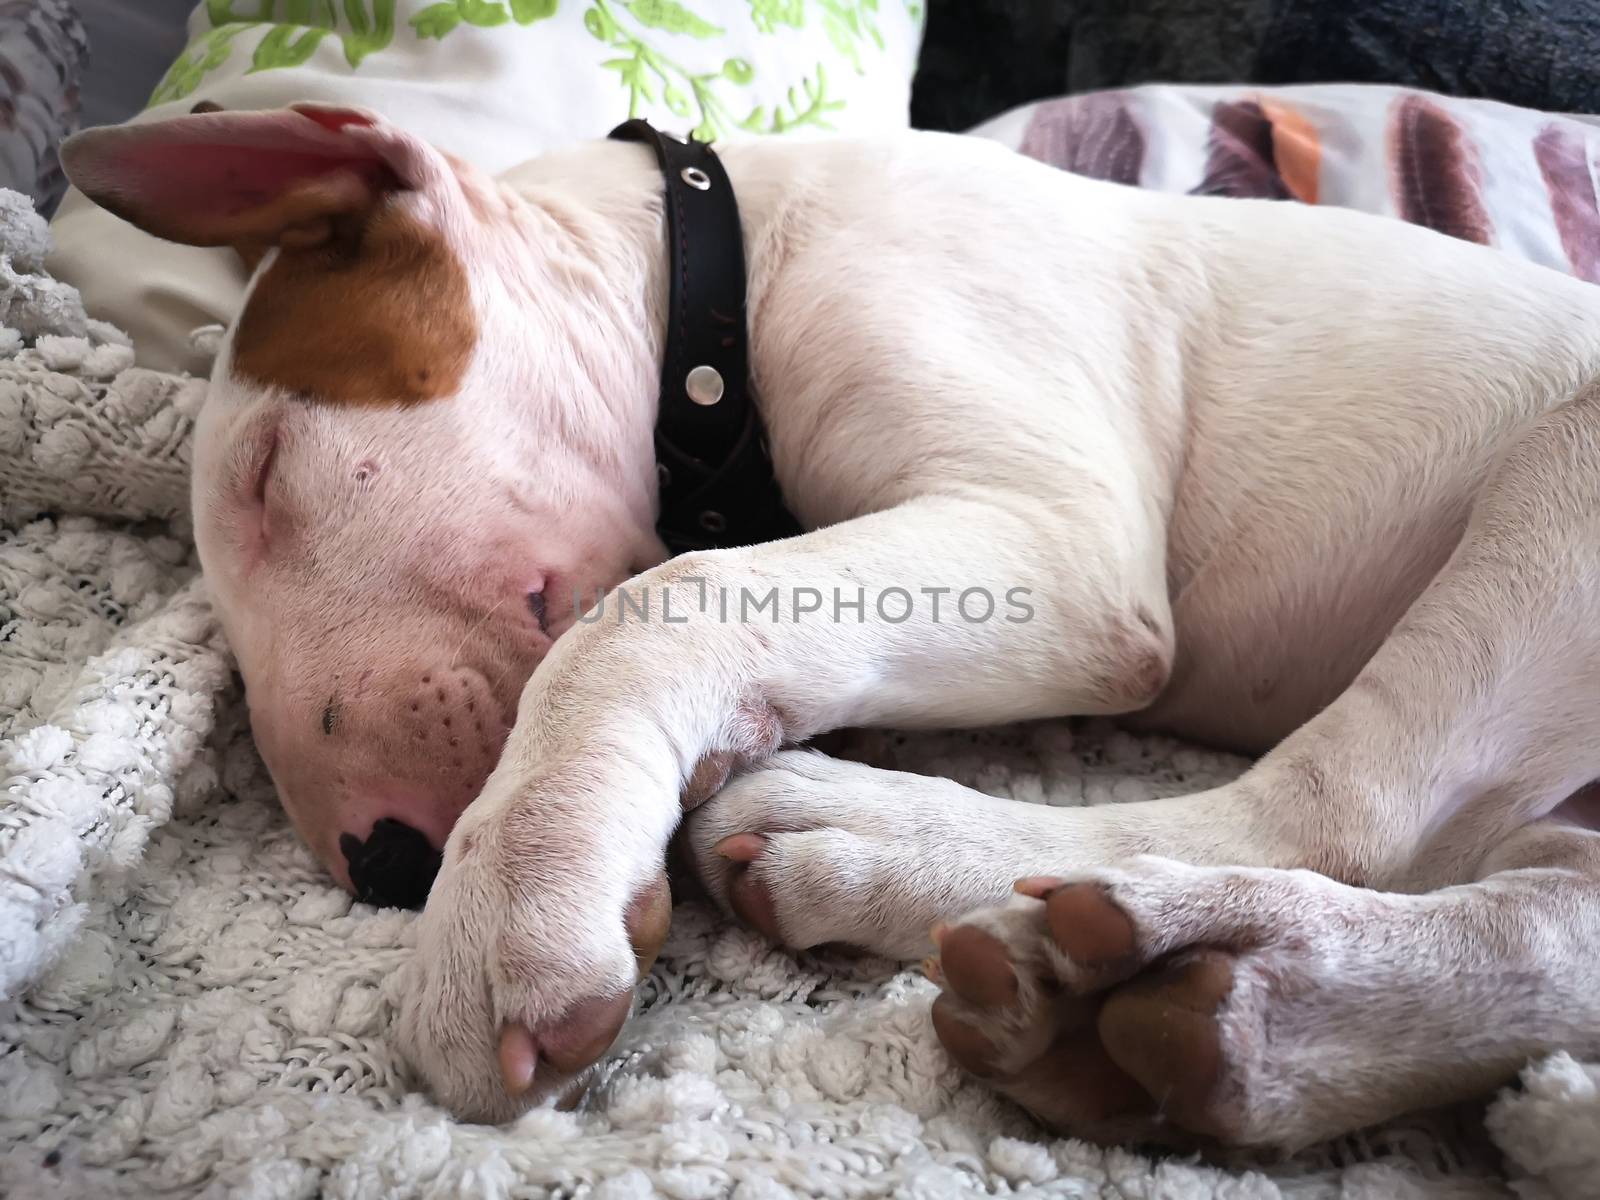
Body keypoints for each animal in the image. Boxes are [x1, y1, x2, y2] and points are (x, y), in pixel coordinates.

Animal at [59, 105, 1600, 1158]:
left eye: (265, 478)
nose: (381, 871)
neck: (715, 277)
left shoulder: (1058, 540)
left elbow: (663, 597)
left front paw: (522, 884)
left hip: (1560, 478)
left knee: (1344, 812)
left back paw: (896, 849)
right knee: (1527, 909)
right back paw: (1181, 1016)